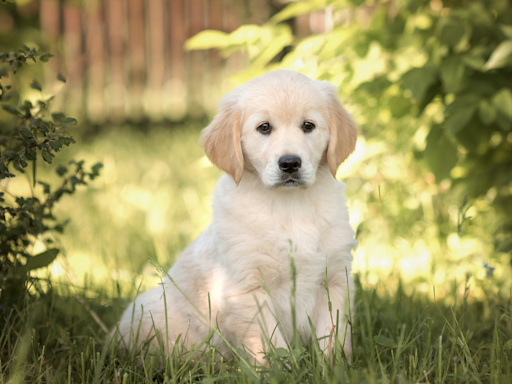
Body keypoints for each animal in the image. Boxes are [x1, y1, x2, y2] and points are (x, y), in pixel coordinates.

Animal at [115, 68, 356, 364]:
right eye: (264, 127)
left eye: (308, 125)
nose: (290, 163)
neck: (289, 206)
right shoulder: (248, 289)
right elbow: (269, 347)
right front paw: (280, 369)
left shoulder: (335, 280)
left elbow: (333, 338)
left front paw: (334, 367)